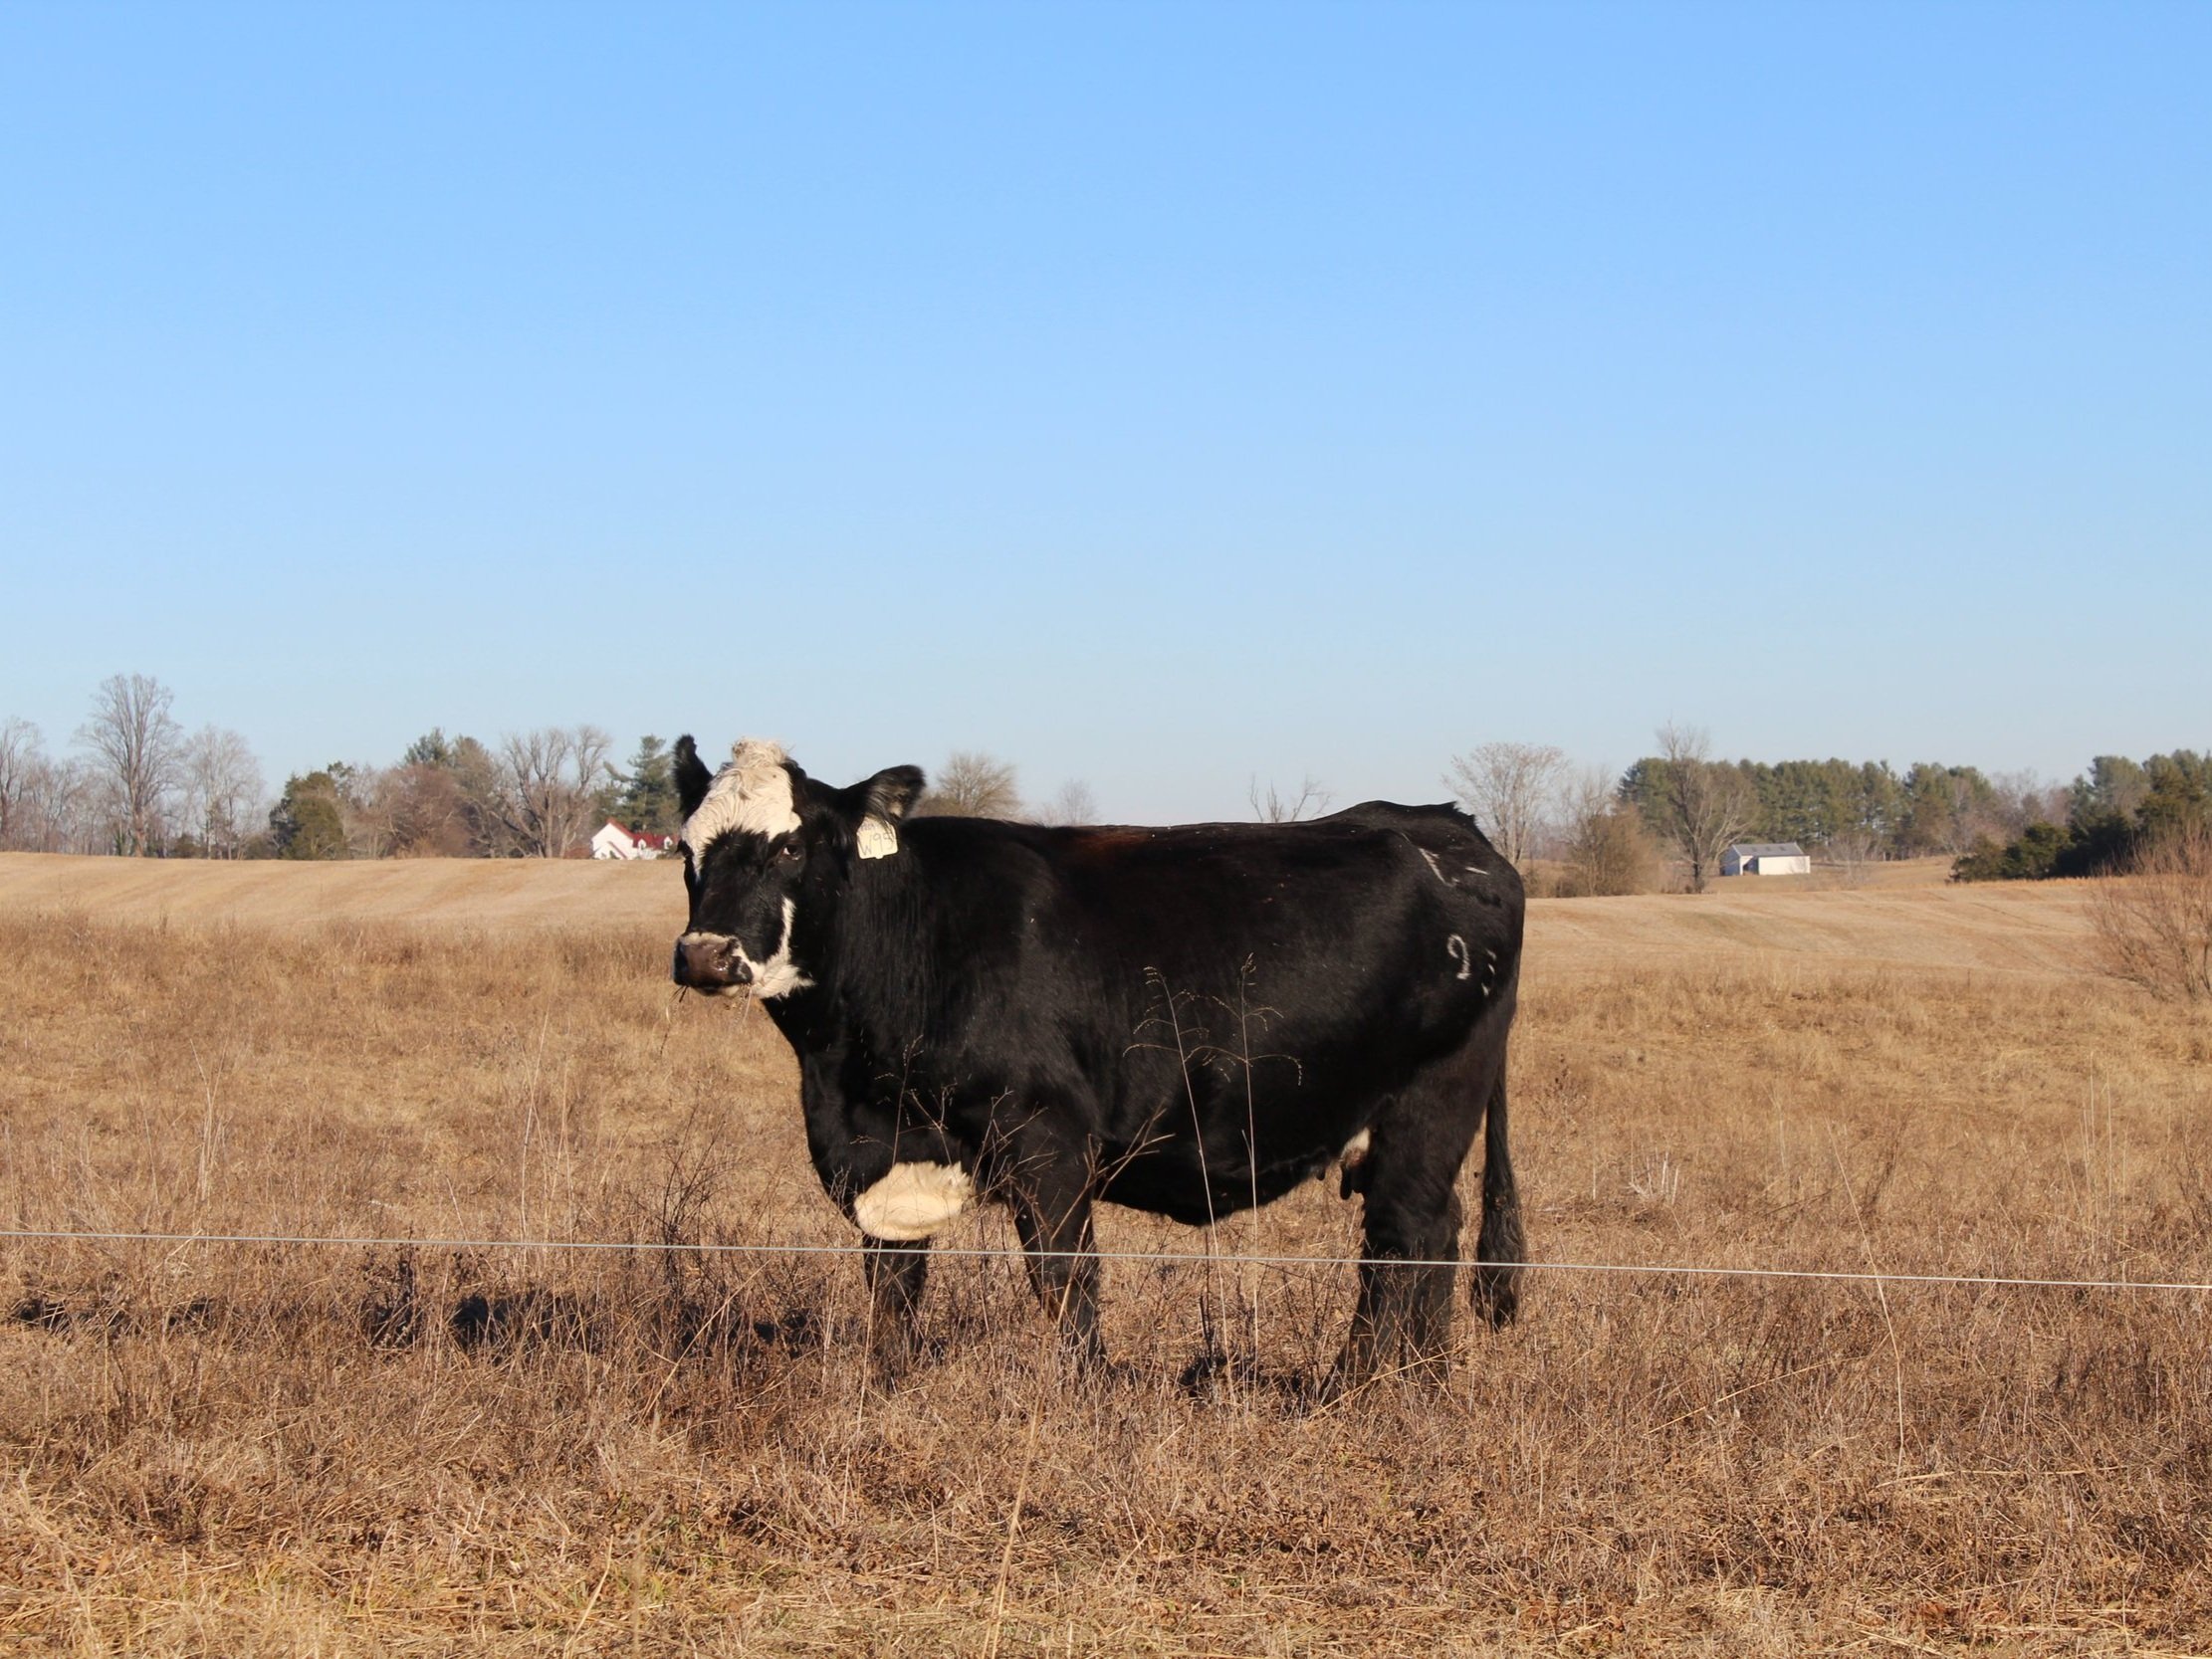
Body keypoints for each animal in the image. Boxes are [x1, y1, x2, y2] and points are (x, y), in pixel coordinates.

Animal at [669, 736, 1525, 1386]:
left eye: (790, 845)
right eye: (687, 848)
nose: (705, 953)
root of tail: (1444, 825)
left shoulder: (1046, 1138)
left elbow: (1064, 1273)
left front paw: (1085, 1397)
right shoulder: (877, 1151)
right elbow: (892, 1282)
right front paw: (885, 1389)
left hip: (1432, 1096)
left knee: (1401, 1237)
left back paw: (1357, 1388)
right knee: (1437, 1229)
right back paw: (1423, 1381)